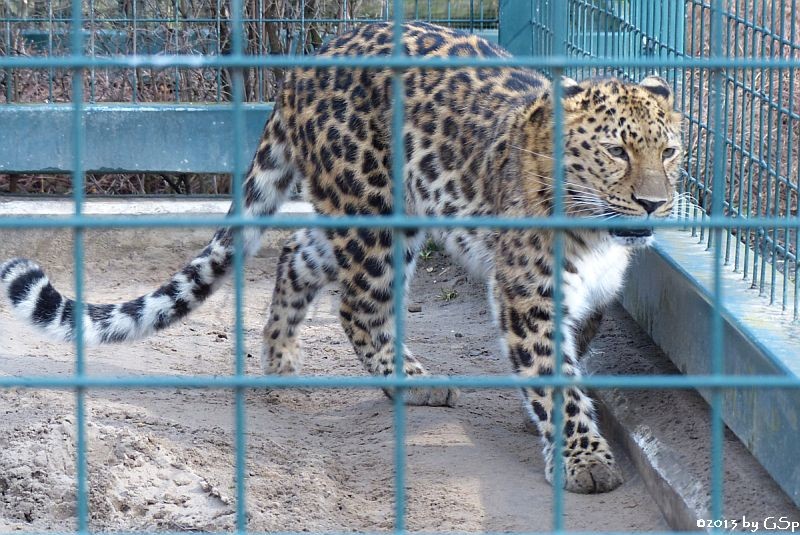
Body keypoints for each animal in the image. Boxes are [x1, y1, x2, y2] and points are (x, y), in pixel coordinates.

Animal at [3, 23, 684, 496]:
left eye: (672, 151)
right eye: (618, 152)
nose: (655, 202)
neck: (598, 234)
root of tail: (306, 62)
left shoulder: (587, 297)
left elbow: (569, 361)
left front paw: (548, 424)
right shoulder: (525, 292)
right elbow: (553, 376)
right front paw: (583, 460)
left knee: (295, 254)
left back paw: (279, 363)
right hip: (376, 210)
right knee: (360, 307)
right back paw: (411, 380)